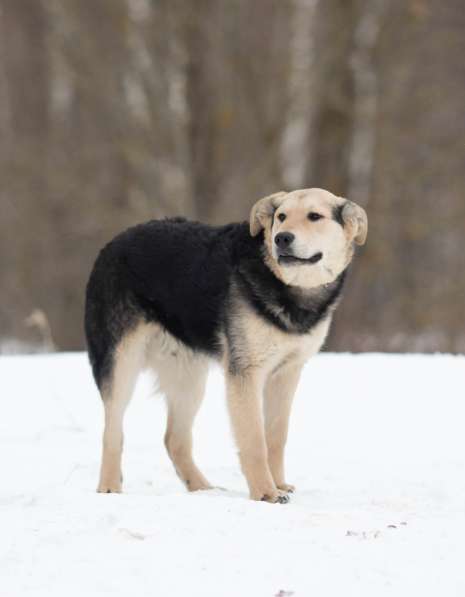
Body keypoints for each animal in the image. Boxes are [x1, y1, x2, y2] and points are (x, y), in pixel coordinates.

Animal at [84, 187, 366, 502]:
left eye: (314, 216)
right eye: (281, 216)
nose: (281, 238)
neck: (286, 285)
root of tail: (113, 243)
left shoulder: (287, 373)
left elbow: (276, 437)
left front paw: (279, 484)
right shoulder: (245, 373)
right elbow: (255, 440)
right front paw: (266, 493)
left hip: (188, 378)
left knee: (174, 439)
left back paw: (202, 489)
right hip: (121, 362)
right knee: (112, 431)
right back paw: (110, 487)